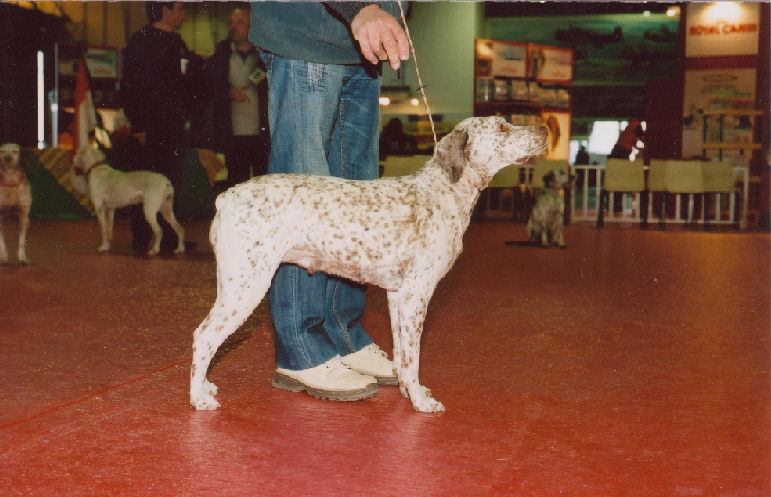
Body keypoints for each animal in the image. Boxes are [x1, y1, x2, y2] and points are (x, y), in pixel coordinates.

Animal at [189, 116, 547, 413]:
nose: (544, 129)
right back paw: (198, 398)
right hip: (245, 287)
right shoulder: (417, 293)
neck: (443, 191)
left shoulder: (398, 295)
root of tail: (226, 197)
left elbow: (402, 355)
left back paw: (205, 386)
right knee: (204, 336)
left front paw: (407, 390)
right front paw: (420, 402)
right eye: (501, 127)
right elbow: (413, 358)